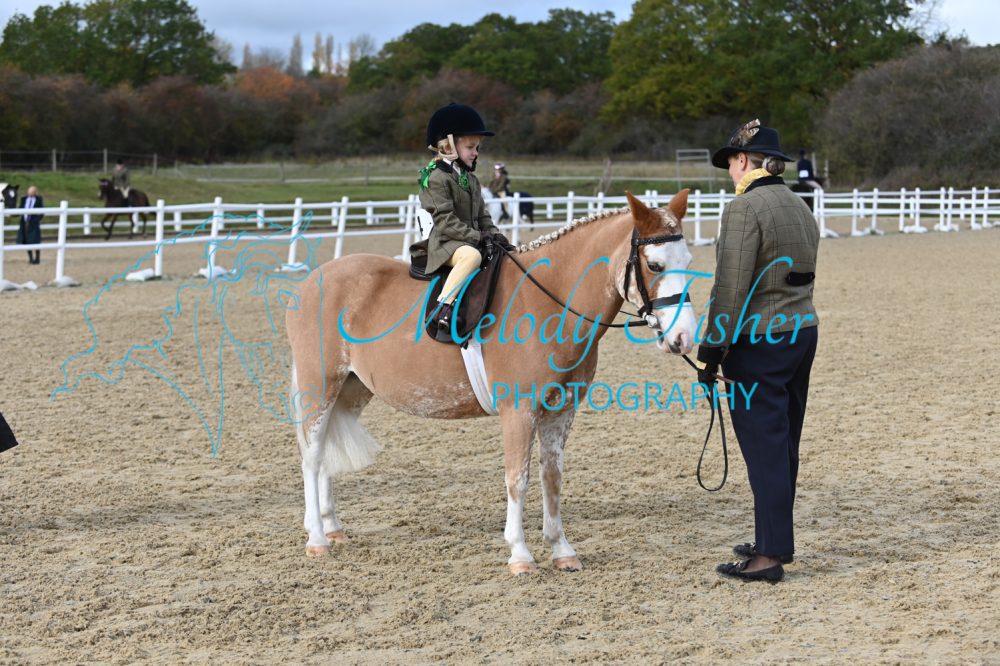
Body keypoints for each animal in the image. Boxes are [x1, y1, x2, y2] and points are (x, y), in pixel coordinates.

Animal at [285, 190, 699, 574]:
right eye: (654, 264)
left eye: (689, 262)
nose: (684, 338)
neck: (549, 302)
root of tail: (314, 279)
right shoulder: (519, 411)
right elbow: (518, 478)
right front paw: (520, 554)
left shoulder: (561, 411)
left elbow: (552, 477)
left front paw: (562, 550)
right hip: (321, 386)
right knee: (313, 456)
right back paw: (317, 539)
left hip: (352, 390)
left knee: (325, 453)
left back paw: (333, 527)